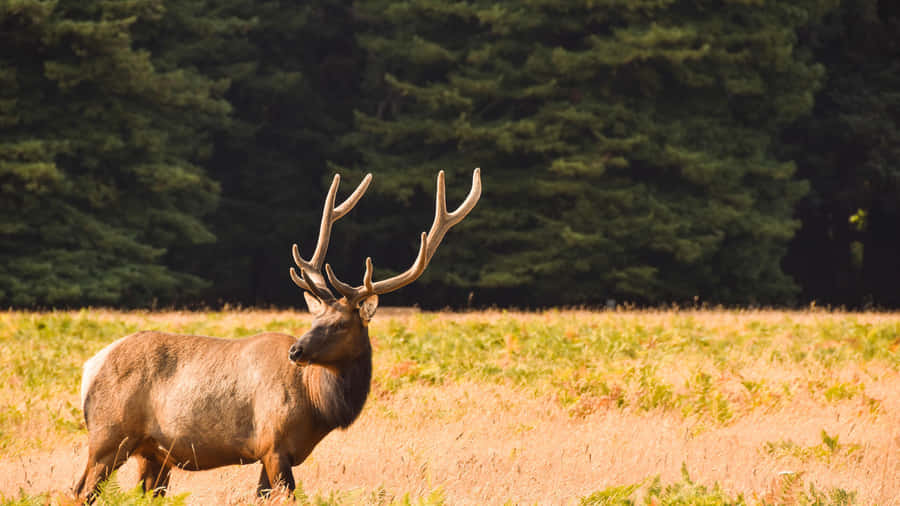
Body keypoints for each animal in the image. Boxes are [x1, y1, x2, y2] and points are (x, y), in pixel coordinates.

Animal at [73, 169, 481, 502]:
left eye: (339, 323)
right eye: (316, 318)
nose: (296, 351)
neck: (317, 405)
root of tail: (90, 367)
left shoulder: (275, 455)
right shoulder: (273, 444)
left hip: (154, 452)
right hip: (109, 435)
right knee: (80, 491)